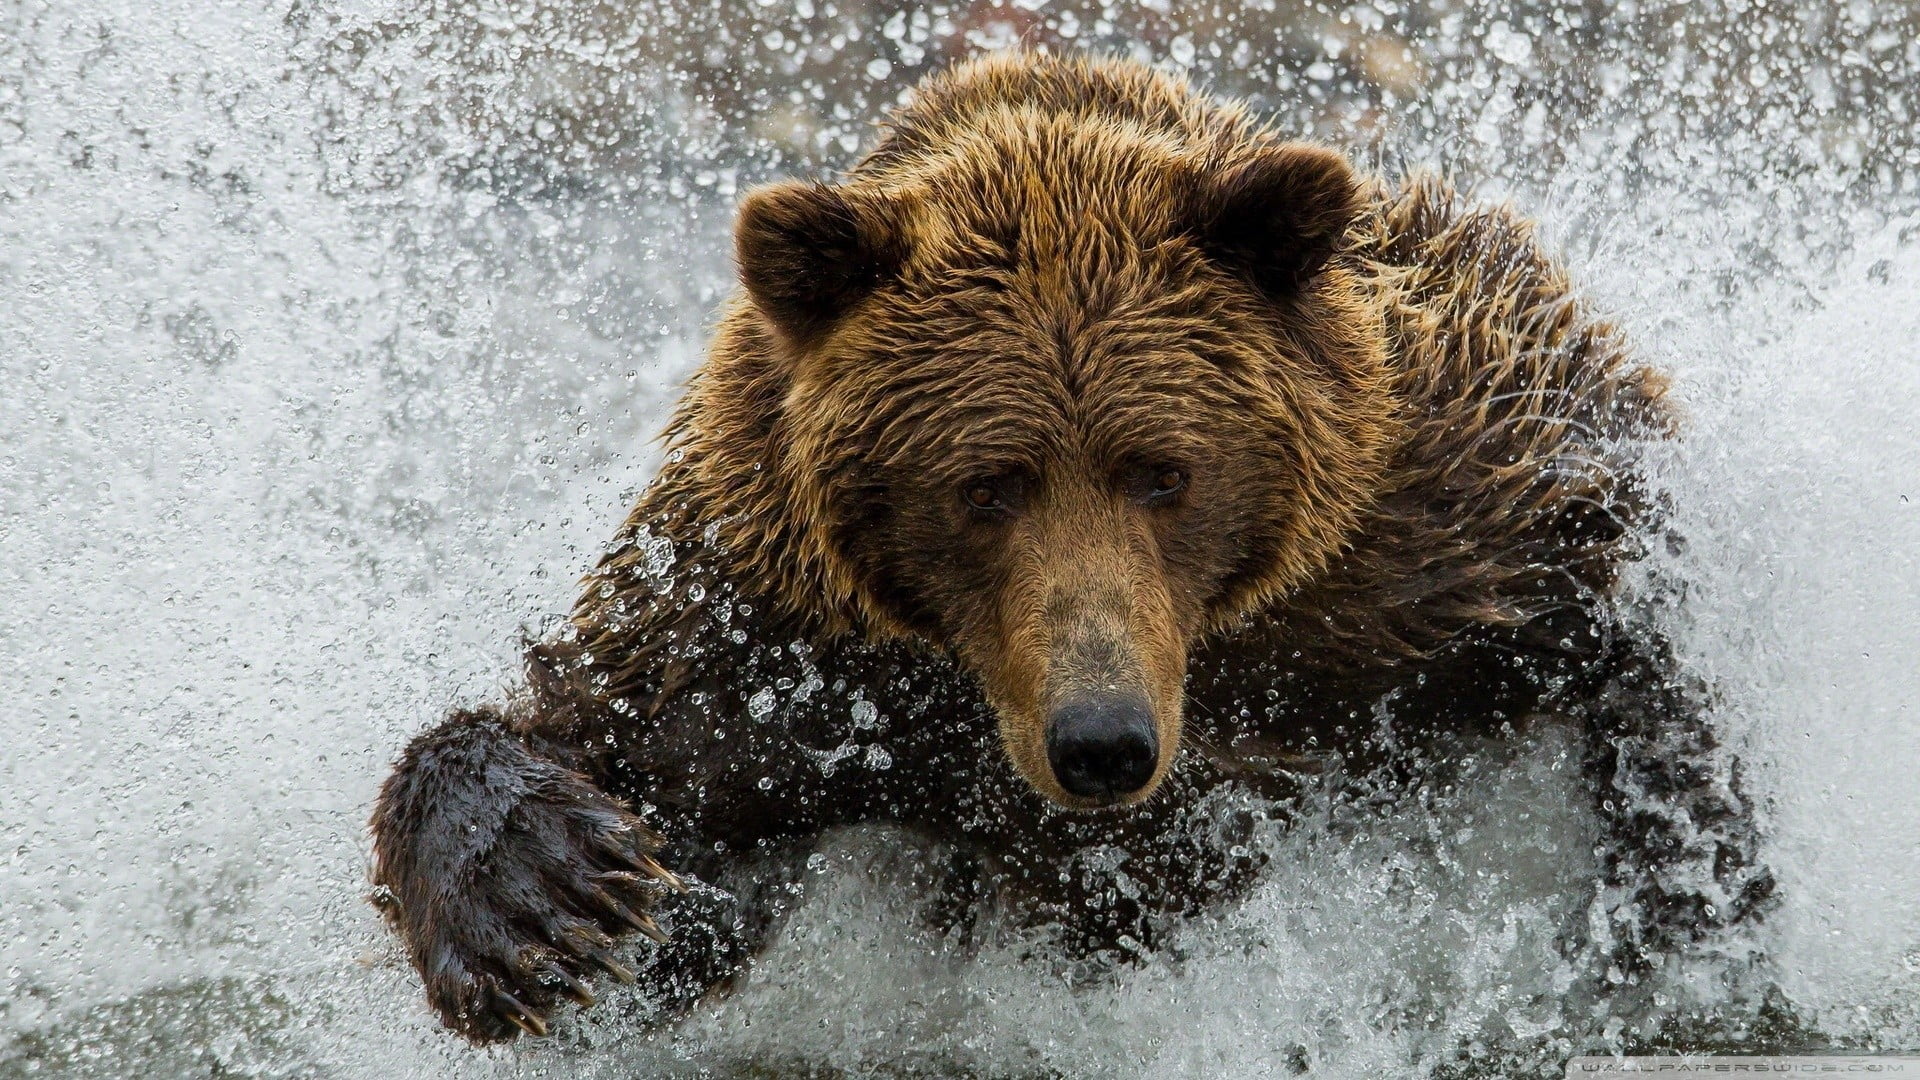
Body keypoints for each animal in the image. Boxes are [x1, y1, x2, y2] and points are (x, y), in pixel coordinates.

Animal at [366, 54, 1774, 1037]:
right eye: (986, 485)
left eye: (1165, 472)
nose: (1103, 741)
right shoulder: (777, 643)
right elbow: (638, 778)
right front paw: (544, 899)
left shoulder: (1437, 512)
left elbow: (1623, 599)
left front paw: (1682, 913)